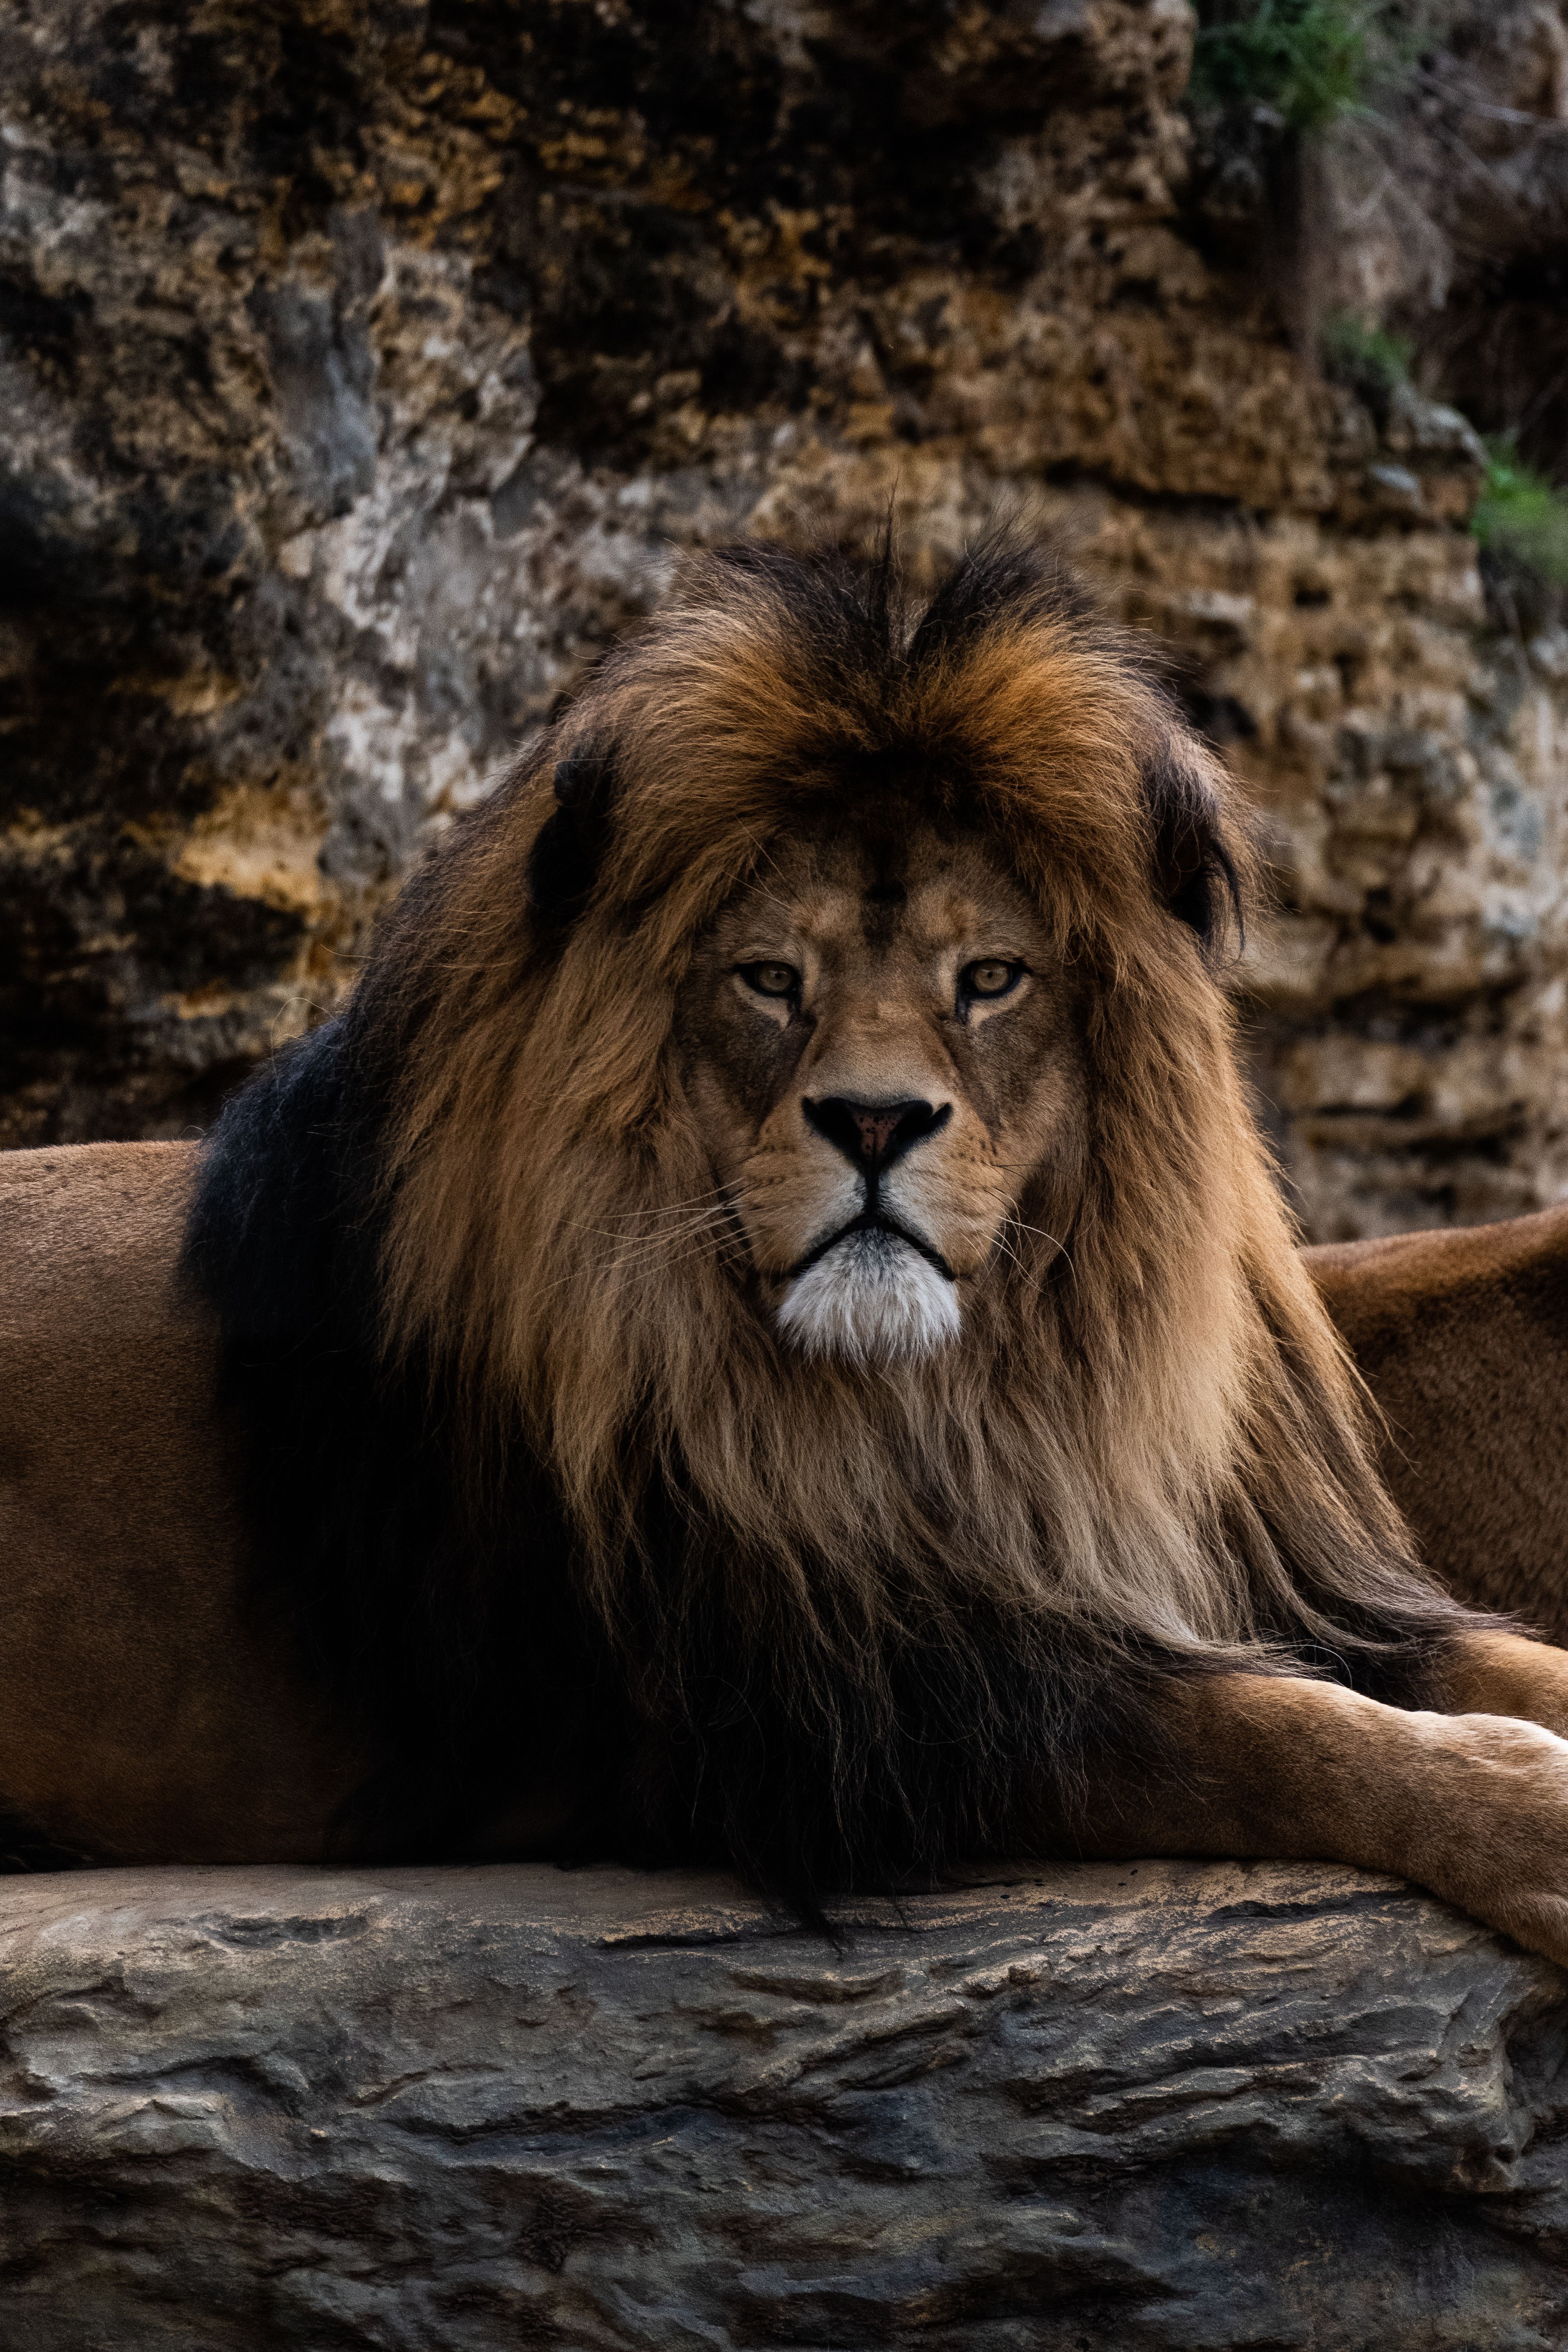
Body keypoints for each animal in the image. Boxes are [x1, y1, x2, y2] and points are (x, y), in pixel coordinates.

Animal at [6, 534, 1568, 1955]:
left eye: (987, 978)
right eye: (768, 977)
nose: (874, 1118)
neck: (990, 1398)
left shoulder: (1281, 1581)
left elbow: (1487, 1656)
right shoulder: (852, 1717)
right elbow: (1266, 1729)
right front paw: (1526, 1820)